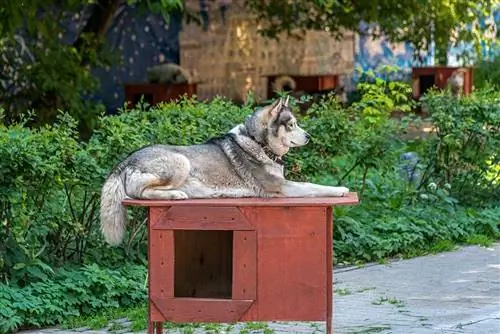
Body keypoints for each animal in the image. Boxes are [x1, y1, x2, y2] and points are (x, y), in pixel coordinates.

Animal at [99, 98, 350, 244]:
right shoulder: (281, 188)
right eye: (292, 125)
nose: (309, 136)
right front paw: (339, 189)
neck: (259, 143)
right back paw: (175, 194)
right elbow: (312, 186)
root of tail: (125, 160)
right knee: (139, 194)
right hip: (181, 162)